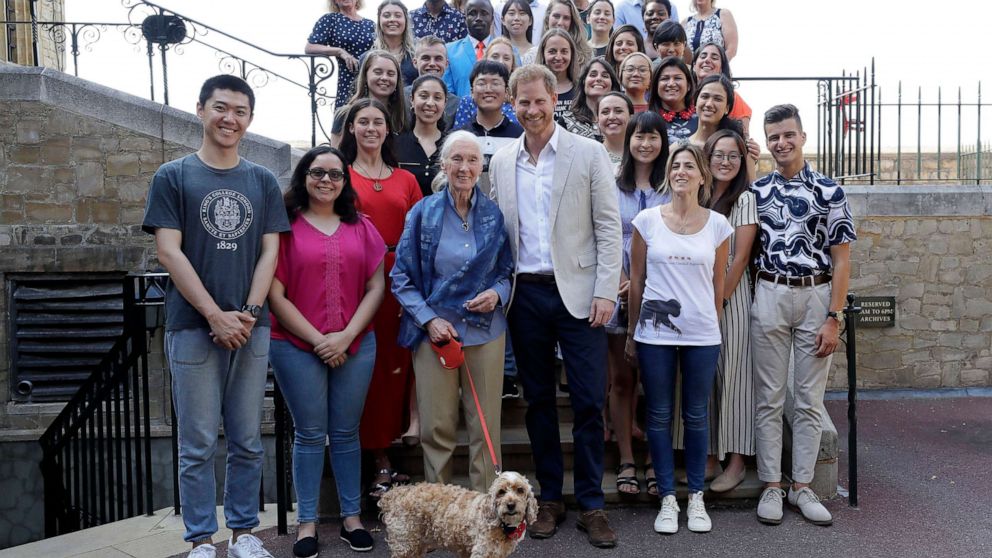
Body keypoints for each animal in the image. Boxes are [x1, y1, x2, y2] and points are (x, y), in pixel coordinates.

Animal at [378, 472, 536, 558]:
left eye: (520, 490)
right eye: (501, 492)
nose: (511, 504)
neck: (502, 525)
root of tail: (395, 493)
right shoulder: (482, 552)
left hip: (415, 545)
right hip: (404, 544)